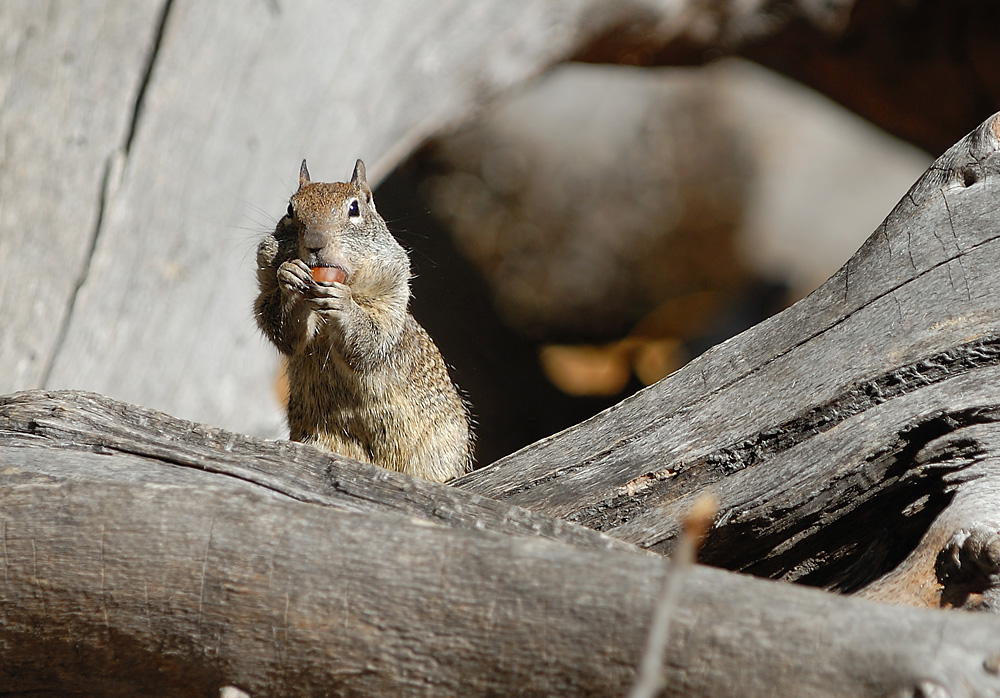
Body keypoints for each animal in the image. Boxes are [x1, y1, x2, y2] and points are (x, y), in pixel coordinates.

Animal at [254, 160, 472, 482]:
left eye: (354, 208)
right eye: (291, 209)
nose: (315, 244)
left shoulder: (390, 301)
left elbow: (371, 342)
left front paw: (344, 304)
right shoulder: (266, 294)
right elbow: (285, 333)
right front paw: (289, 276)